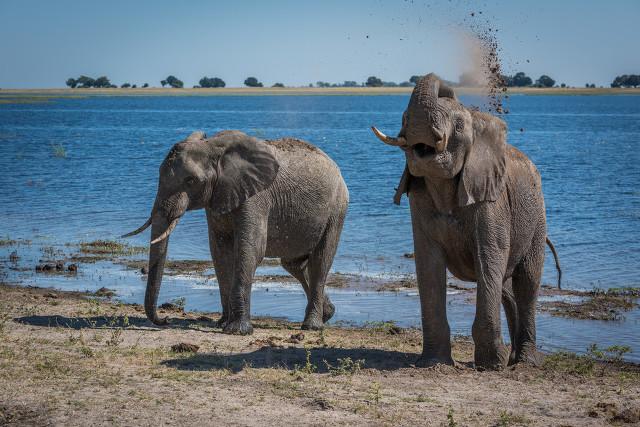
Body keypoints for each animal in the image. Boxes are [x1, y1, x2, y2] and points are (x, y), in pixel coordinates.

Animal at [122, 130, 348, 334]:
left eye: (190, 180)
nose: (165, 319)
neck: (212, 147)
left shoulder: (256, 197)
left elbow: (250, 251)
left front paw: (237, 330)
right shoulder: (217, 198)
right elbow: (220, 252)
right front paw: (222, 324)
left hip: (337, 209)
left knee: (320, 260)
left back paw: (312, 326)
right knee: (294, 264)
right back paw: (328, 313)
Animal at [370, 73, 560, 372]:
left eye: (458, 126)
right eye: (403, 117)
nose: (445, 84)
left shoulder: (490, 197)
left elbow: (489, 255)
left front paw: (491, 365)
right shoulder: (419, 200)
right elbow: (428, 262)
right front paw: (434, 362)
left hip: (538, 216)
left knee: (527, 281)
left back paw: (525, 362)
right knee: (505, 287)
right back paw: (513, 359)